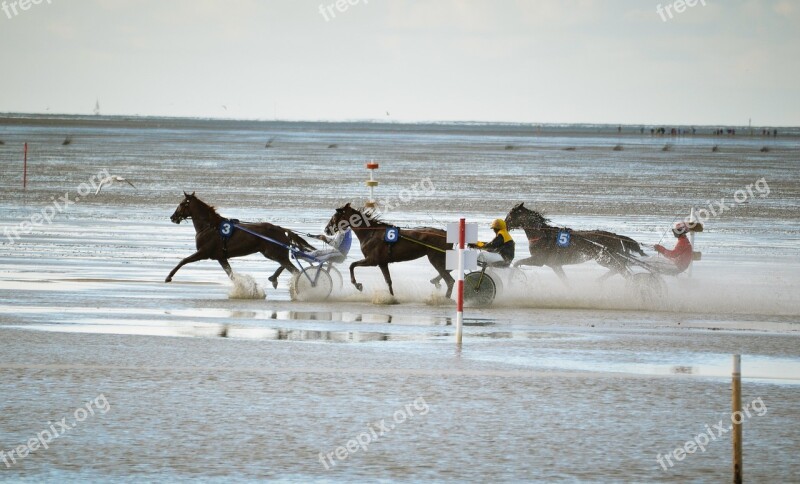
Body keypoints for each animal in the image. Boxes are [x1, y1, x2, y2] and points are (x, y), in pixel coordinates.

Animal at [165, 191, 312, 286]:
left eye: (181, 203)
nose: (172, 217)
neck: (210, 226)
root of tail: (282, 229)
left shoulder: (203, 252)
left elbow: (183, 261)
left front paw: (168, 277)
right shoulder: (221, 257)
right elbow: (230, 274)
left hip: (274, 252)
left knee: (293, 269)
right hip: (272, 253)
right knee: (287, 265)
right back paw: (273, 278)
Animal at [322, 202, 454, 296]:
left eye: (334, 216)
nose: (326, 229)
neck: (371, 233)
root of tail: (446, 234)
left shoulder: (372, 260)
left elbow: (352, 265)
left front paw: (357, 285)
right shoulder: (383, 263)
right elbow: (388, 281)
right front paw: (391, 297)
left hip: (435, 258)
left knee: (450, 280)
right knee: (448, 273)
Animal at [506, 201, 648, 284]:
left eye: (510, 215)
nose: (504, 224)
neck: (542, 234)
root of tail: (617, 237)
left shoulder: (539, 259)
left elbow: (517, 263)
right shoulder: (555, 265)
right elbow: (565, 281)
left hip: (606, 258)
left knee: (624, 271)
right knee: (619, 269)